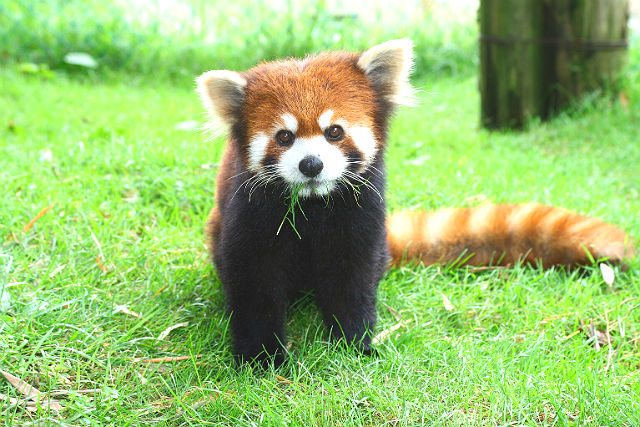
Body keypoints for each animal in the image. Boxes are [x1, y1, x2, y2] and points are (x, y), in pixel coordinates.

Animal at [196, 39, 636, 368]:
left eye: (334, 131)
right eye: (284, 137)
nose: (311, 164)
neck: (313, 203)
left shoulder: (361, 216)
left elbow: (352, 278)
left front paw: (354, 344)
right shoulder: (250, 213)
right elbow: (254, 282)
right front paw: (261, 357)